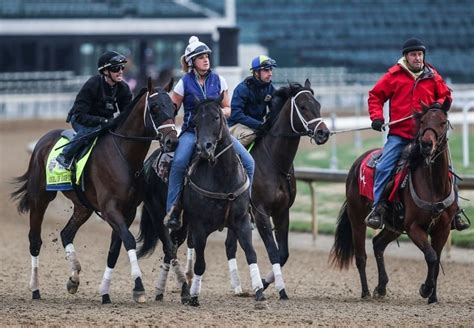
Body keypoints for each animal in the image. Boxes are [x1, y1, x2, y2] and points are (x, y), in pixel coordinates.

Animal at [10, 78, 178, 304]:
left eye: (174, 107)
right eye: (155, 108)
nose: (172, 141)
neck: (124, 155)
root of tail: (41, 142)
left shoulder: (128, 211)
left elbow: (115, 250)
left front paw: (105, 292)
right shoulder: (110, 210)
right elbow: (129, 240)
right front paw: (138, 287)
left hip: (83, 207)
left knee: (66, 233)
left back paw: (73, 278)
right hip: (40, 198)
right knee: (35, 240)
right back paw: (35, 289)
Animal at [139, 93, 268, 306]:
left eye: (216, 117)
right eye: (196, 121)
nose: (203, 147)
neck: (223, 178)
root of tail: (149, 162)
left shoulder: (241, 222)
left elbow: (251, 254)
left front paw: (259, 294)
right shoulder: (200, 228)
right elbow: (200, 263)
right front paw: (194, 296)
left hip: (183, 225)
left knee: (171, 248)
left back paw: (163, 290)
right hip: (159, 217)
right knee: (169, 248)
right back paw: (174, 290)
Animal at [330, 98, 456, 304]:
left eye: (443, 122)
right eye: (422, 121)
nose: (426, 145)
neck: (433, 186)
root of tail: (357, 164)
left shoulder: (442, 228)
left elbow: (436, 260)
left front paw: (433, 297)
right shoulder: (413, 227)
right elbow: (430, 256)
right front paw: (425, 289)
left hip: (394, 225)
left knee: (378, 244)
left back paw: (381, 287)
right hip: (357, 218)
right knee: (361, 256)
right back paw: (366, 292)